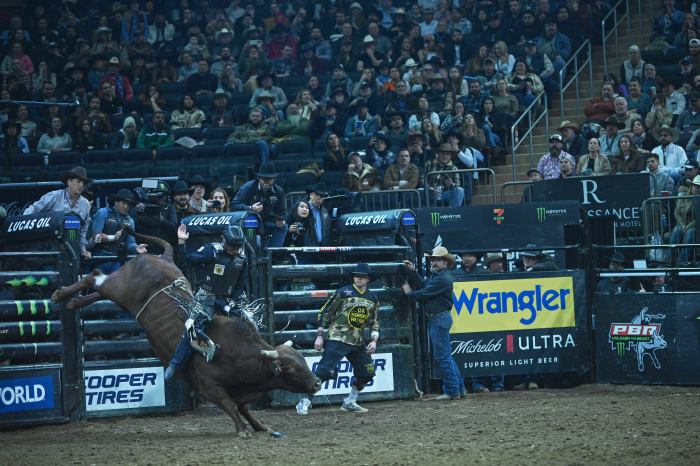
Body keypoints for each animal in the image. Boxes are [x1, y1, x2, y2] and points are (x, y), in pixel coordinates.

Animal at [51, 229, 320, 436]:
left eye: (303, 360)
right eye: (291, 368)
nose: (317, 382)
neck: (242, 355)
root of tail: (163, 258)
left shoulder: (238, 389)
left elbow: (242, 407)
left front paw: (260, 426)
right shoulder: (208, 386)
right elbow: (230, 406)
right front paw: (242, 430)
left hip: (119, 294)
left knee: (96, 288)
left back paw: (71, 302)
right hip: (119, 287)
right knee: (95, 277)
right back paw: (59, 294)